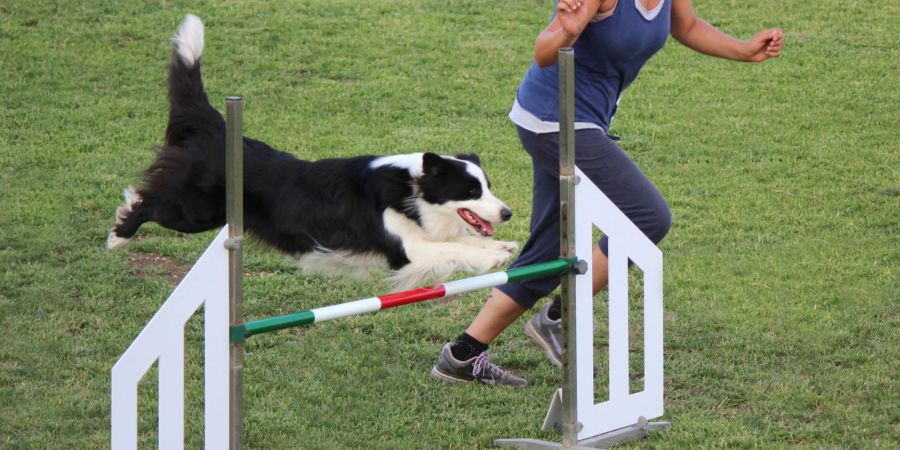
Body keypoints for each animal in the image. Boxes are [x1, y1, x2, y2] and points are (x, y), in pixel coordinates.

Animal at [106, 15, 516, 288]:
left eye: (489, 187)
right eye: (471, 190)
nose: (508, 213)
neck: (411, 189)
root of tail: (217, 128)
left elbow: (462, 241)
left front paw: (504, 244)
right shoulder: (406, 250)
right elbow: (459, 249)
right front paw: (493, 254)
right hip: (194, 212)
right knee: (146, 200)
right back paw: (118, 234)